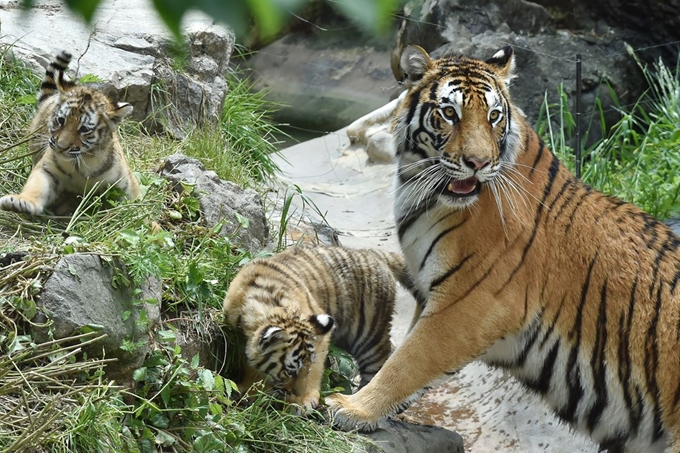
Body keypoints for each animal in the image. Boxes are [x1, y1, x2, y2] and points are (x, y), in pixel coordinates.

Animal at [0, 49, 141, 215]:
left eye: (84, 129)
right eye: (61, 120)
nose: (60, 147)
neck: (85, 162)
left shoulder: (126, 183)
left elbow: (135, 203)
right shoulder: (47, 170)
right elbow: (36, 187)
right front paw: (20, 201)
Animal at [326, 44, 676, 450]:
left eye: (493, 116)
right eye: (450, 113)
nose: (477, 163)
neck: (422, 189)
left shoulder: (468, 303)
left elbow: (408, 361)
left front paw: (352, 408)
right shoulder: (432, 292)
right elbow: (403, 354)